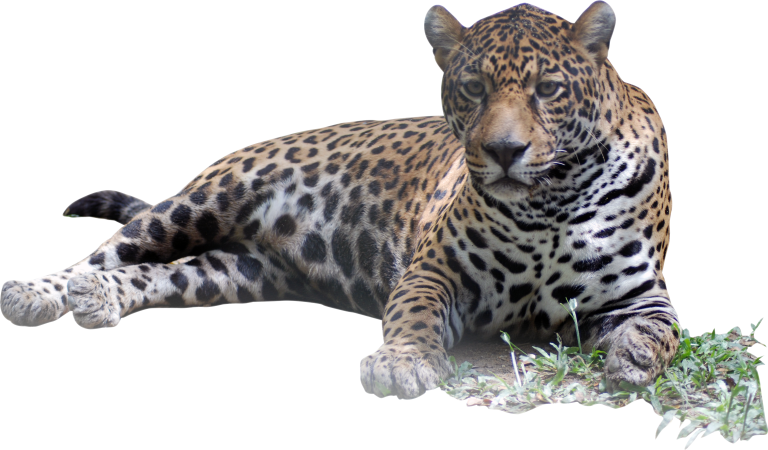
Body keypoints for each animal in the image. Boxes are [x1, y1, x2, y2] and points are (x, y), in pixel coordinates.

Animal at [1, 1, 677, 399]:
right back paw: (39, 294)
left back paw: (99, 299)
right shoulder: (434, 272)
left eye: (549, 90)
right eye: (473, 88)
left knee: (157, 276)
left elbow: (660, 332)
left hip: (237, 272)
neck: (549, 205)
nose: (505, 150)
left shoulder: (641, 296)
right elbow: (414, 314)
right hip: (201, 203)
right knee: (105, 253)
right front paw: (400, 363)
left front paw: (634, 359)